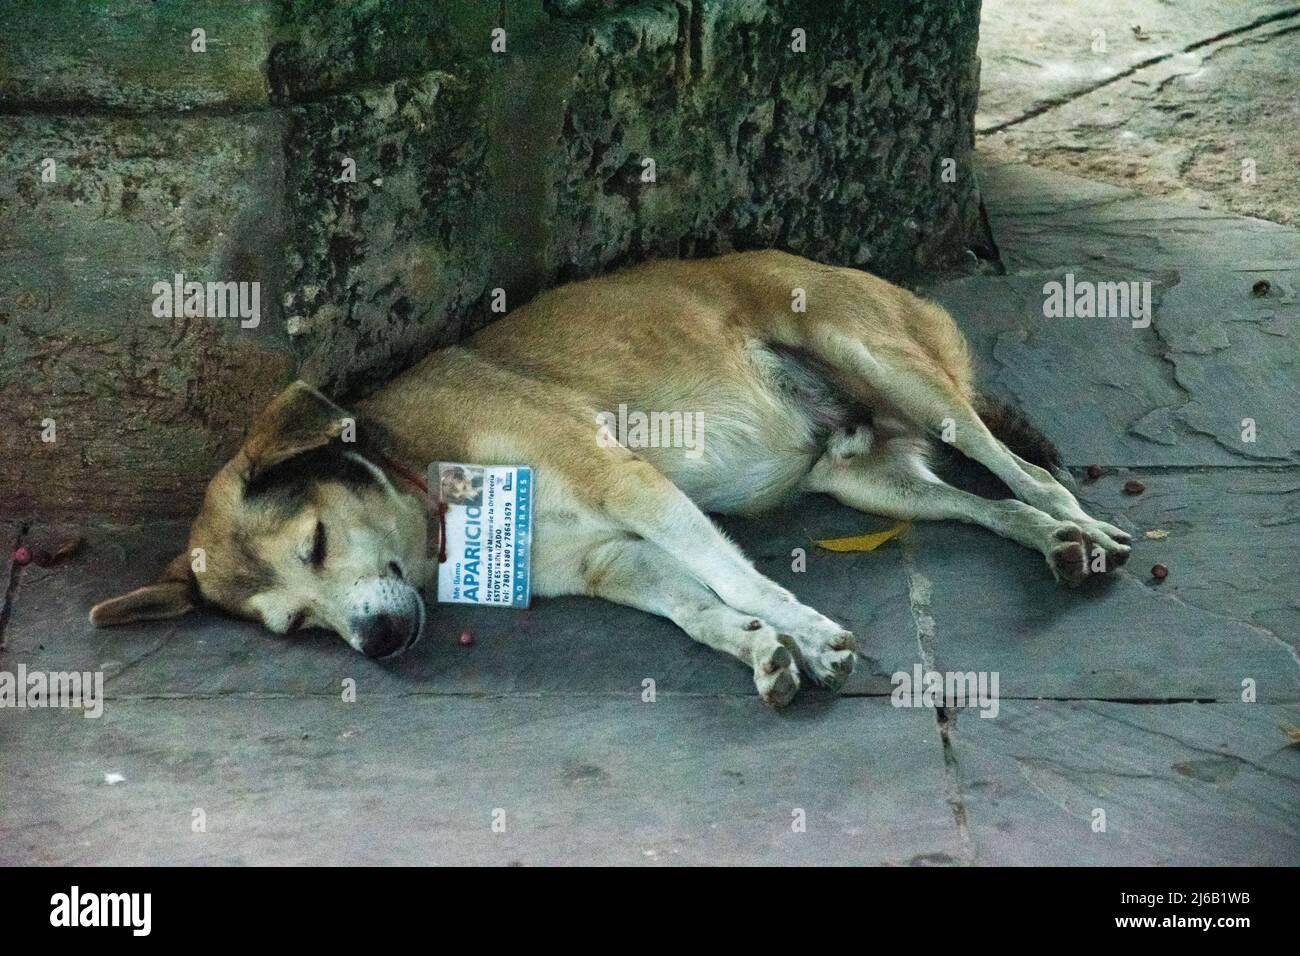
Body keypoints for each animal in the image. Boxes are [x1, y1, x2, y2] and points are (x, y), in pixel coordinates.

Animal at [89, 251, 1128, 707]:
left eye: (315, 542)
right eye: (294, 626)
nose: (378, 643)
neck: (427, 483)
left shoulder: (629, 486)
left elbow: (740, 578)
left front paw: (808, 632)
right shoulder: (616, 561)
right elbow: (701, 608)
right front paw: (760, 649)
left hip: (882, 360)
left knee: (1019, 470)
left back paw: (1083, 524)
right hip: (866, 482)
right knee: (980, 506)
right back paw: (1056, 545)